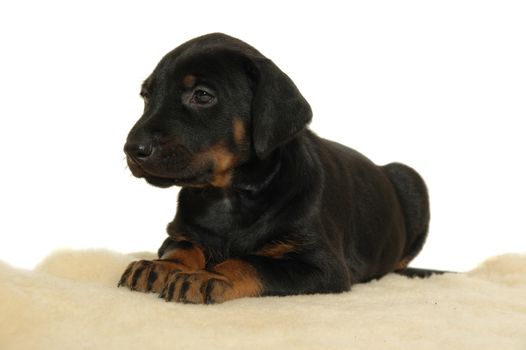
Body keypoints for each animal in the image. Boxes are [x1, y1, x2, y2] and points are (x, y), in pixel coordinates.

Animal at [117, 32, 432, 304]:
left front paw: (209, 276)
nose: (132, 149)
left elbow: (253, 262)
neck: (228, 196)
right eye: (147, 96)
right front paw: (160, 266)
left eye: (203, 95)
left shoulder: (322, 266)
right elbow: (183, 246)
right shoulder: (178, 232)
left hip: (411, 178)